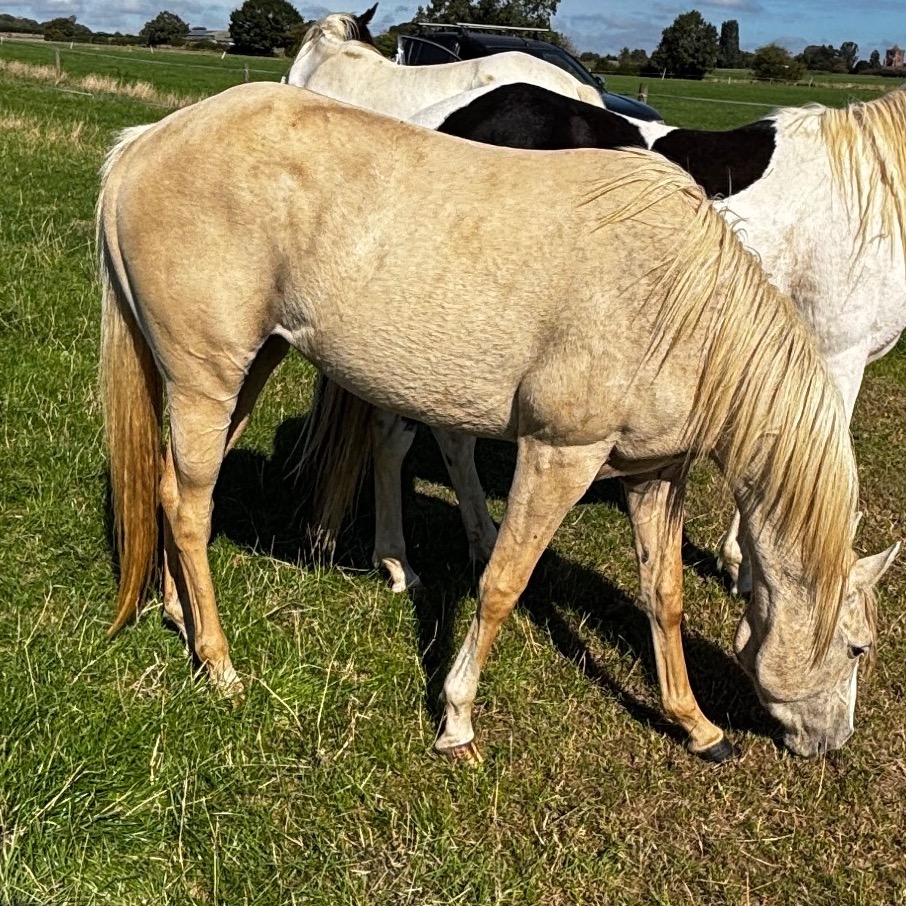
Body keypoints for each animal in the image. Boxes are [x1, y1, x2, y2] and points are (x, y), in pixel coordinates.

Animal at [308, 81, 906, 597]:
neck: (874, 197)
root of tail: (438, 120)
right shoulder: (836, 356)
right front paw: (747, 570)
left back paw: (474, 541)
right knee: (397, 437)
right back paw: (400, 563)